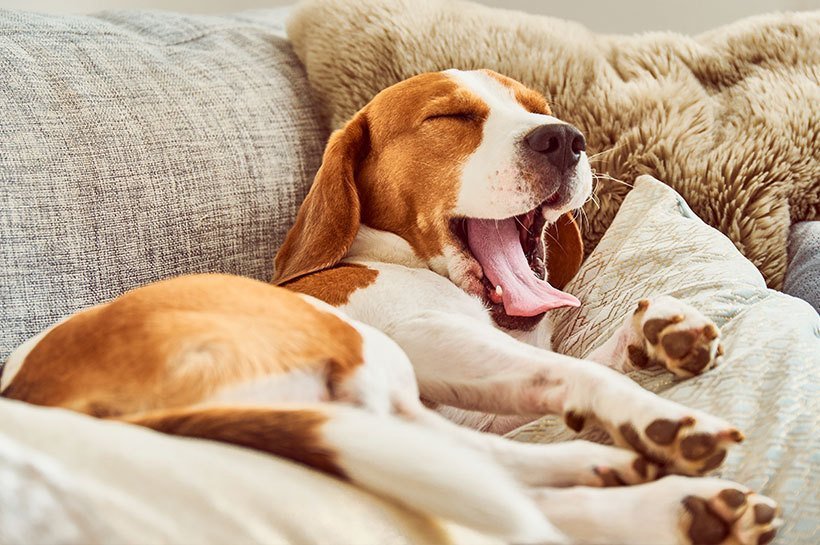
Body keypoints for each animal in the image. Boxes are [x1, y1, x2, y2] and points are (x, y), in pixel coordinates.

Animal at [1, 71, 780, 544]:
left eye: (536, 108)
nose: (563, 137)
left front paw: (657, 332)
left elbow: (565, 372)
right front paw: (652, 412)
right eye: (452, 116)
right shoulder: (424, 337)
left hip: (393, 409)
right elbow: (573, 372)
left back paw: (638, 485)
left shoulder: (473, 393)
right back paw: (656, 488)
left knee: (496, 475)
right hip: (366, 359)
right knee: (501, 490)